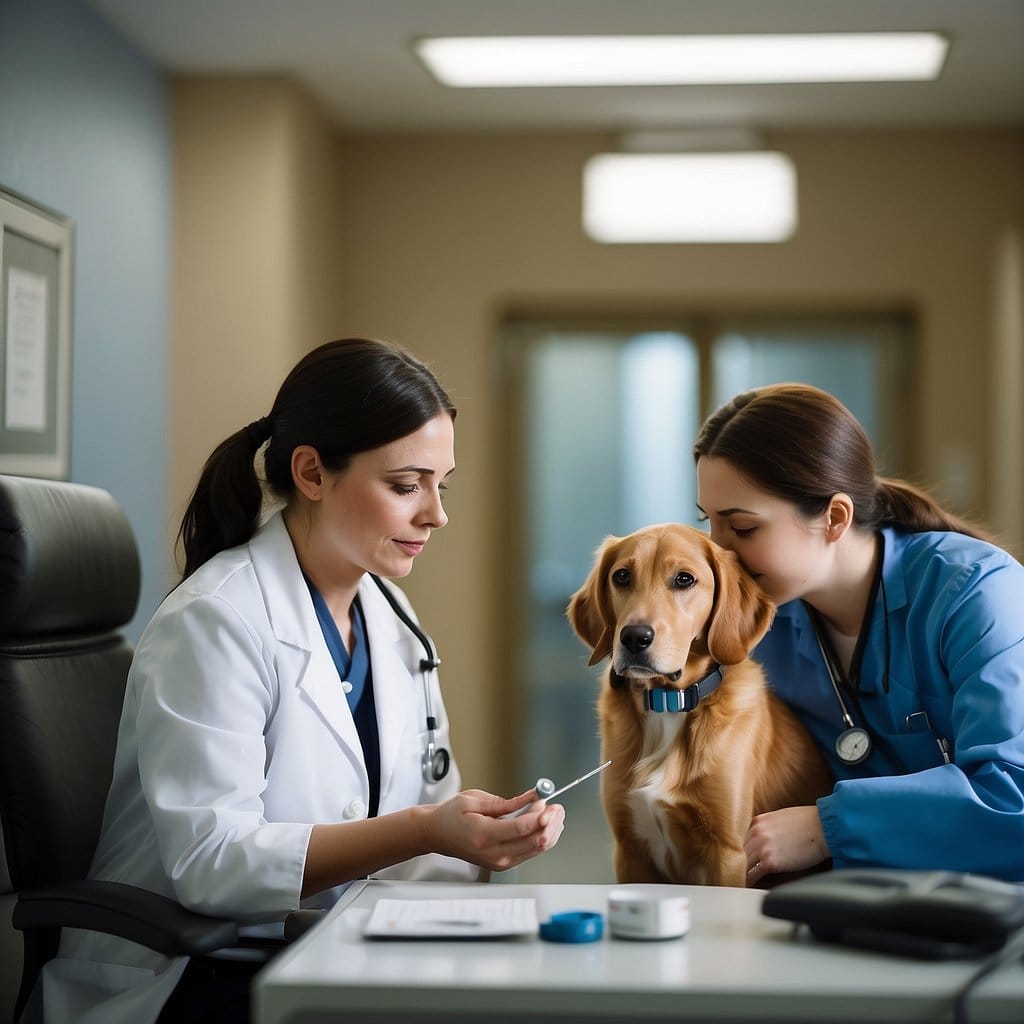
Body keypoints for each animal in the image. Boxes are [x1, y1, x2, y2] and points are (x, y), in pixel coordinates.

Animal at [569, 524, 831, 884]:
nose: (634, 637)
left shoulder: (728, 853)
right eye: (621, 576)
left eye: (684, 579)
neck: (668, 703)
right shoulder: (629, 847)